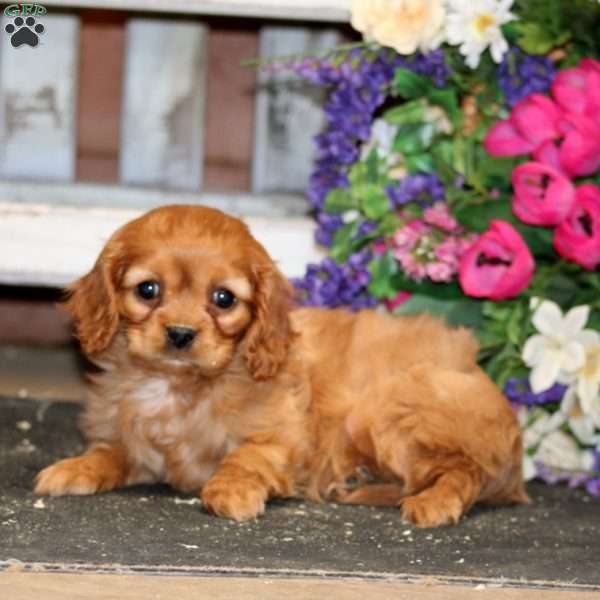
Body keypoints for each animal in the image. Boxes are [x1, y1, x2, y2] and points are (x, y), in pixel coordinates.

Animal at [35, 205, 528, 524]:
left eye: (223, 299)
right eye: (148, 290)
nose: (180, 333)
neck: (180, 387)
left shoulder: (283, 438)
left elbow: (246, 457)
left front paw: (230, 491)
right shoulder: (134, 442)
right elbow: (108, 452)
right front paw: (74, 468)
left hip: (389, 411)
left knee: (465, 471)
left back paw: (433, 503)